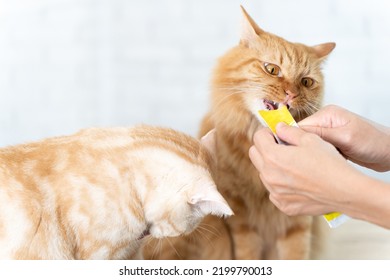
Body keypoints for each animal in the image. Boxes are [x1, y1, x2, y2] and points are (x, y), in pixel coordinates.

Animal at [143, 7, 336, 260]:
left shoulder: (298, 221)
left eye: (306, 82)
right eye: (272, 69)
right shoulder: (241, 217)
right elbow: (248, 253)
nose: (292, 94)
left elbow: (295, 254)